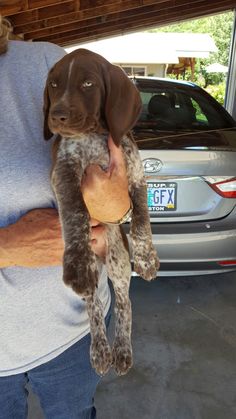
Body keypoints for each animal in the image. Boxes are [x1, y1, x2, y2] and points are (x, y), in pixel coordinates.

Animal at [43, 49, 159, 378]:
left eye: (88, 83)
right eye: (54, 84)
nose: (57, 115)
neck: (93, 135)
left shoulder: (135, 174)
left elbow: (142, 218)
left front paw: (146, 258)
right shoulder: (64, 173)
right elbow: (75, 214)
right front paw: (77, 264)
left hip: (118, 259)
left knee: (123, 302)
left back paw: (121, 350)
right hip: (96, 279)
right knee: (93, 306)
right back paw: (100, 351)